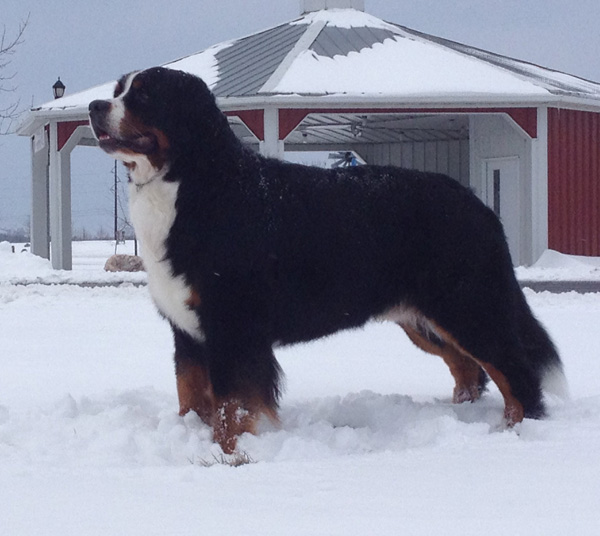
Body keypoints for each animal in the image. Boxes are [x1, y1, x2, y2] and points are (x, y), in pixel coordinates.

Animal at [88, 66, 564, 452]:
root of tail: (477, 204)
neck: (191, 183)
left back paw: (515, 432)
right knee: (469, 370)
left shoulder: (231, 325)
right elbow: (190, 396)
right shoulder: (187, 330)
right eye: (117, 90)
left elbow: (230, 405)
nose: (94, 106)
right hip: (424, 319)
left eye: (145, 95)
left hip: (467, 305)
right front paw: (192, 439)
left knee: (515, 371)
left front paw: (229, 456)